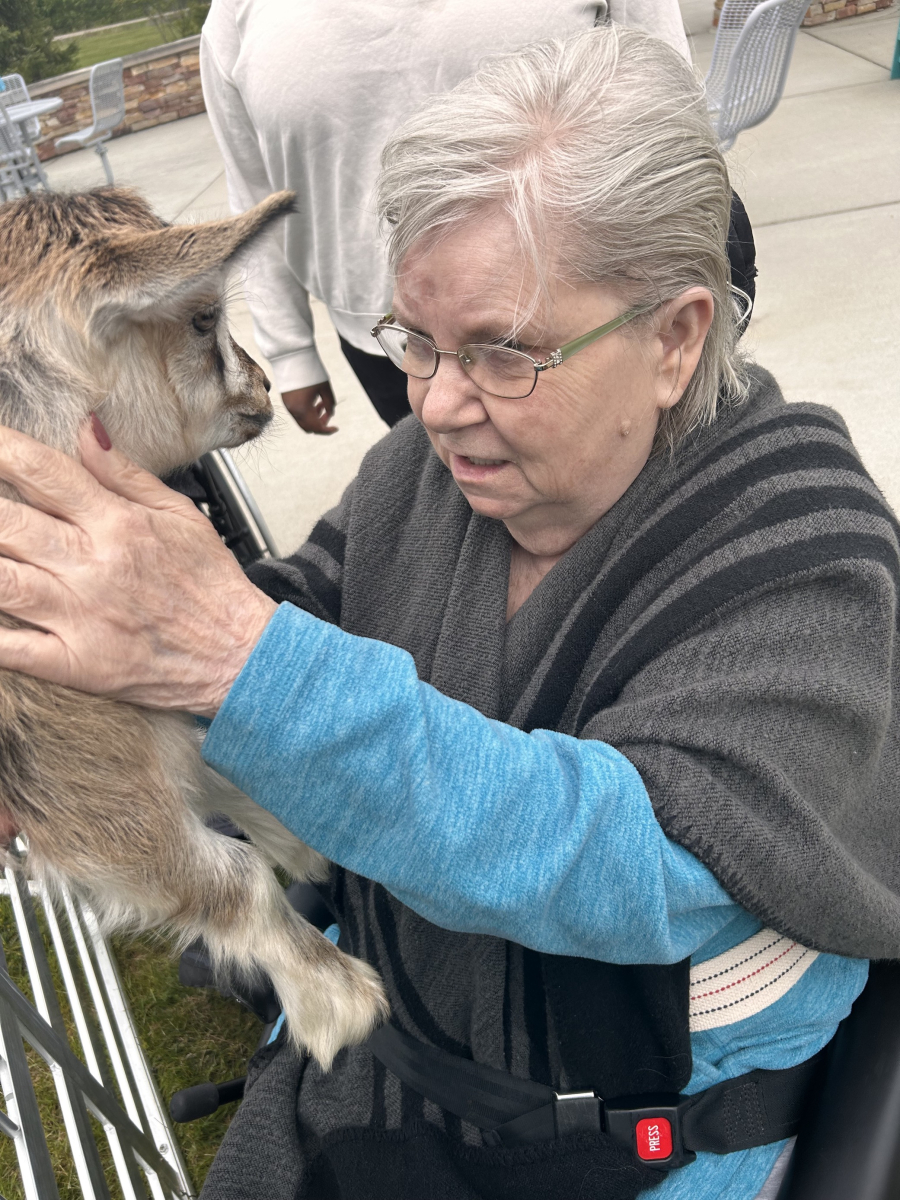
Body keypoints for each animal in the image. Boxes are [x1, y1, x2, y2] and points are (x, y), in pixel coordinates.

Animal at [0, 188, 388, 1068]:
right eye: (204, 317)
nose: (266, 386)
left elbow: (223, 771)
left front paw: (309, 853)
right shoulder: (81, 779)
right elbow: (226, 876)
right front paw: (336, 1003)